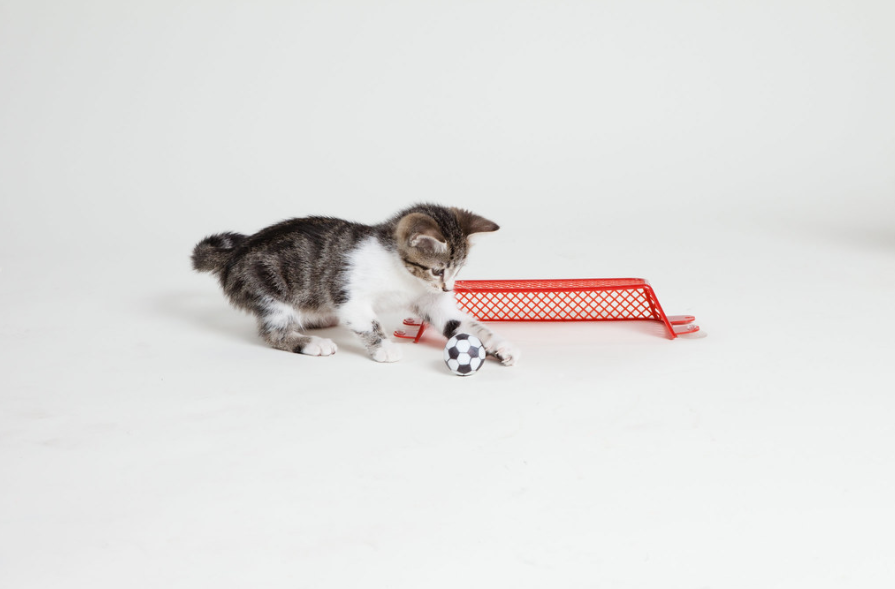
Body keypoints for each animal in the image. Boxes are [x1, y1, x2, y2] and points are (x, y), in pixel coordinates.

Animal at [191, 203, 519, 365]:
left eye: (457, 270)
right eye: (438, 270)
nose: (449, 288)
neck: (404, 274)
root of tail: (235, 252)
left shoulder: (432, 300)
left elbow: (462, 324)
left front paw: (499, 344)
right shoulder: (350, 296)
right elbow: (368, 322)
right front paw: (384, 348)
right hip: (270, 291)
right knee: (273, 332)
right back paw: (311, 343)